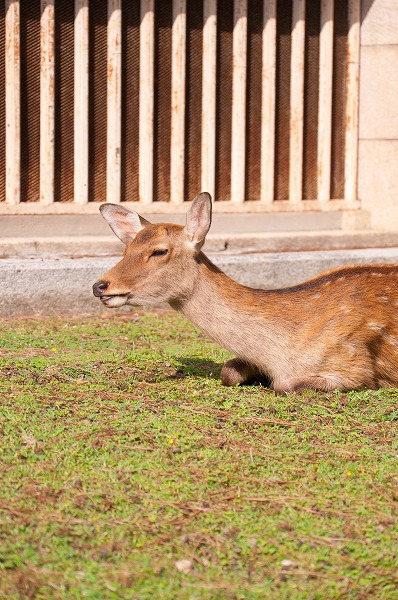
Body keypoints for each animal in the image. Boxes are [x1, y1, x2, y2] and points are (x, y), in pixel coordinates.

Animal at [91, 192, 398, 394]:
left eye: (159, 251)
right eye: (126, 248)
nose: (99, 286)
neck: (280, 354)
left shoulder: (352, 363)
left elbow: (285, 386)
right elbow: (228, 372)